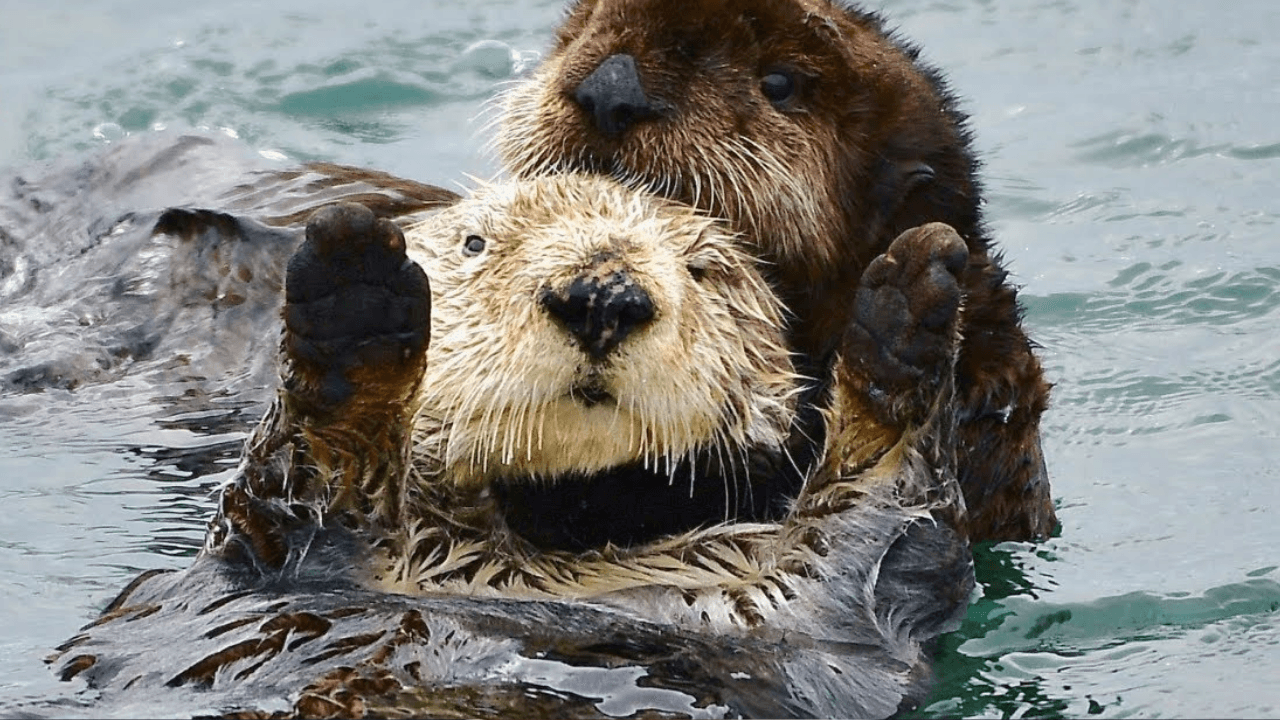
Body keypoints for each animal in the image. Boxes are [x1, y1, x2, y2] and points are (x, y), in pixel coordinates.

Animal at [51, 173, 974, 718]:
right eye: (474, 244)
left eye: (704, 271)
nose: (602, 293)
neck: (554, 539)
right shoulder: (272, 552)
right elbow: (305, 474)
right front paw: (353, 286)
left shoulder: (814, 621)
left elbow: (879, 527)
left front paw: (908, 312)